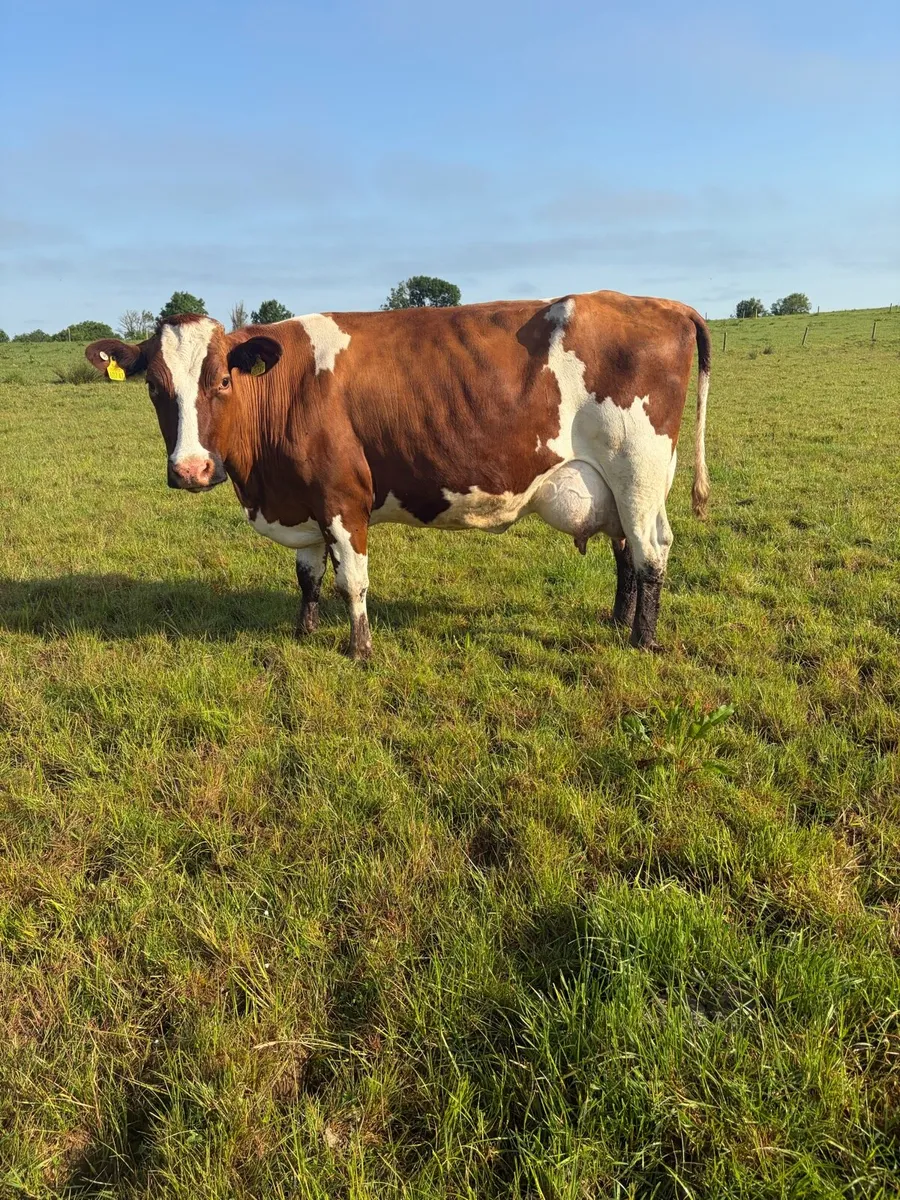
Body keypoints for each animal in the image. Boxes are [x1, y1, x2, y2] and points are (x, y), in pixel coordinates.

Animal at [85, 291, 710, 660]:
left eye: (221, 381)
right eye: (154, 386)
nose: (191, 469)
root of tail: (663, 303)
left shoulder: (342, 498)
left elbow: (352, 580)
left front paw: (358, 649)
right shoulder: (302, 501)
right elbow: (309, 577)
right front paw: (304, 632)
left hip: (638, 472)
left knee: (651, 552)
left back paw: (641, 639)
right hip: (615, 483)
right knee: (625, 551)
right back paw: (617, 620)